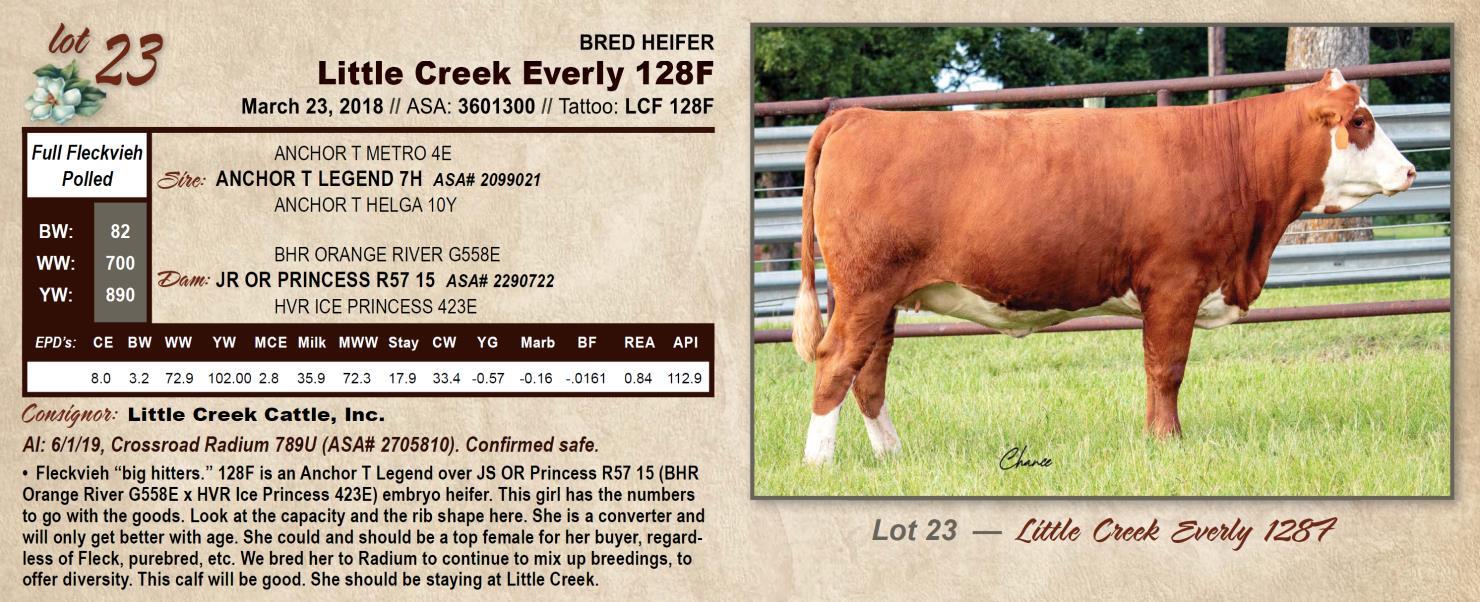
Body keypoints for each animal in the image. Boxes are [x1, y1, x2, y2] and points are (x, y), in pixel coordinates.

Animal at [791, 69, 1416, 464]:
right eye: (1359, 121)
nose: (1411, 170)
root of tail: (858, 118)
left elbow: (1158, 368)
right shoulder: (1173, 282)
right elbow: (1166, 369)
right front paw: (1167, 443)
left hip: (885, 299)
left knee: (869, 375)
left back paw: (892, 457)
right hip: (865, 290)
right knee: (836, 363)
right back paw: (819, 462)